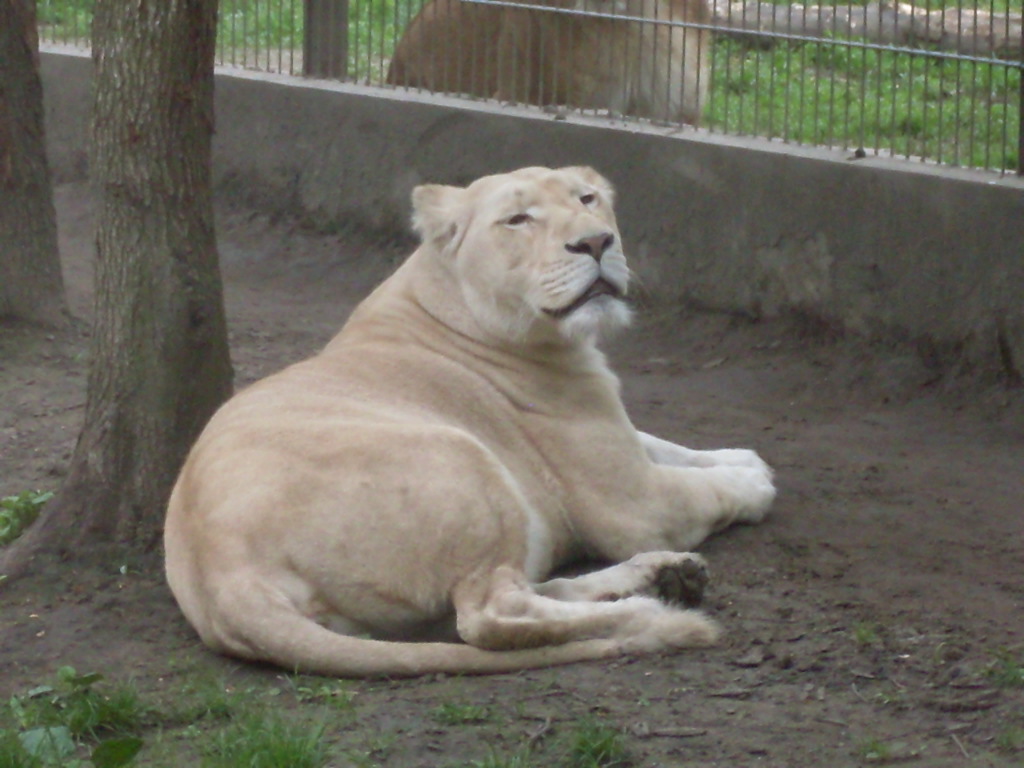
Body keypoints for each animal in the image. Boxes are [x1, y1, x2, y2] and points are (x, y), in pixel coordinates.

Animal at [164, 166, 774, 678]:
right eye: (519, 219)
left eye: (587, 198)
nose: (597, 241)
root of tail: (223, 576)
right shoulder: (632, 503)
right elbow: (707, 489)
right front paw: (755, 481)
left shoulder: (619, 438)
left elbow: (667, 444)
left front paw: (742, 457)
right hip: (464, 458)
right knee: (489, 617)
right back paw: (651, 611)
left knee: (522, 592)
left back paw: (664, 576)